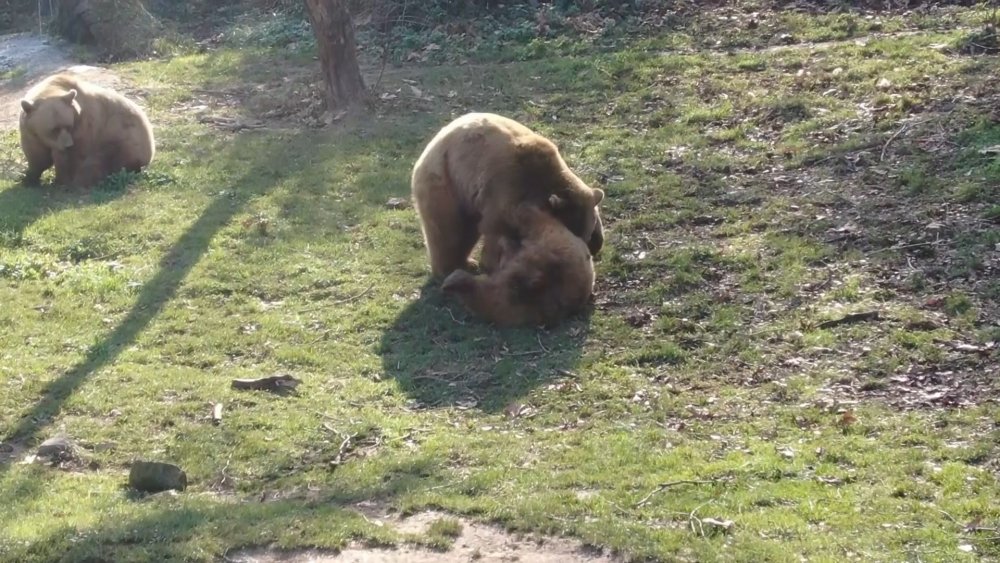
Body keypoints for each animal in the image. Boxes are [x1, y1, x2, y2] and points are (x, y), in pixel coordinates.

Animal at [19, 72, 154, 189]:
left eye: (68, 126)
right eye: (54, 129)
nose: (68, 145)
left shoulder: (84, 125)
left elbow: (74, 157)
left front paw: (65, 180)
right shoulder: (30, 132)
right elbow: (38, 157)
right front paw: (29, 178)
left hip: (125, 139)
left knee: (106, 160)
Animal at [410, 112, 604, 280]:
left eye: (587, 234)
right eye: (572, 232)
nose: (585, 252)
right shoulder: (506, 189)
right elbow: (496, 229)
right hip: (447, 184)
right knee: (448, 231)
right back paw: (451, 267)